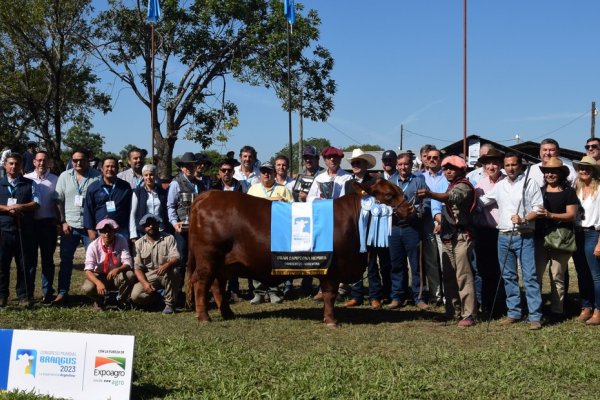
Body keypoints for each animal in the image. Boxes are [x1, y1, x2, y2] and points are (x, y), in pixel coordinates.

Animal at [186, 180, 412, 326]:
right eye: (389, 195)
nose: (411, 209)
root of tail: (207, 195)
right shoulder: (332, 267)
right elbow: (329, 294)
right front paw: (331, 320)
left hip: (221, 262)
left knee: (217, 284)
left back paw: (227, 313)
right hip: (208, 257)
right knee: (201, 282)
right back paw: (204, 317)